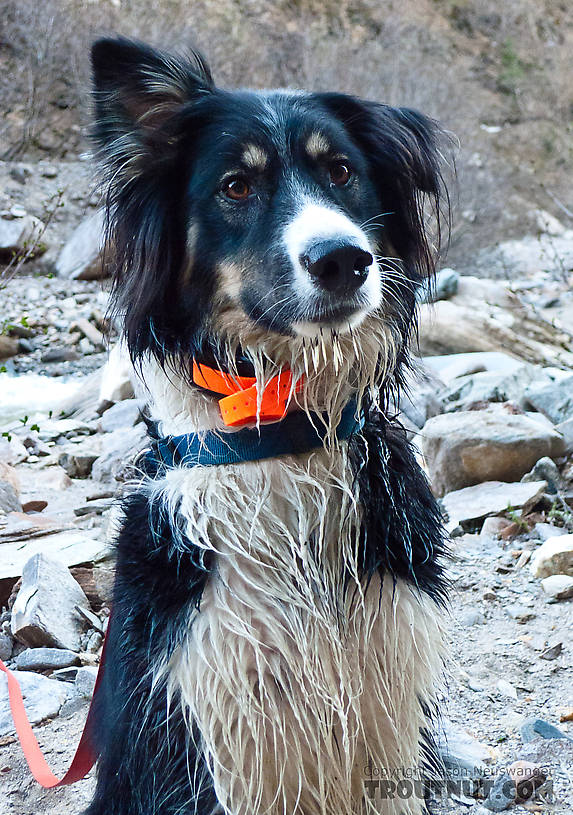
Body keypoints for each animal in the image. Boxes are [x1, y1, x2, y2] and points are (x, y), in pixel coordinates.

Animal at [87, 36, 450, 815]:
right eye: (235, 187)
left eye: (341, 171)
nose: (343, 260)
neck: (279, 429)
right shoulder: (214, 724)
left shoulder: (388, 703)